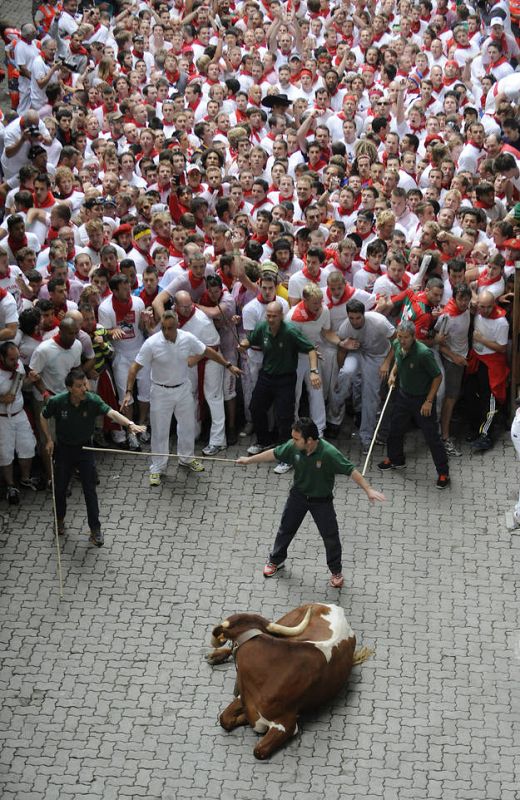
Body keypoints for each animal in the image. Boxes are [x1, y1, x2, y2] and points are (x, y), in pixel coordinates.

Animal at [207, 604, 374, 760]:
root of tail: (334, 607)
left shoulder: (285, 724)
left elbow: (259, 750)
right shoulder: (243, 697)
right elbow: (224, 719)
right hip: (284, 623)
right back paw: (215, 656)